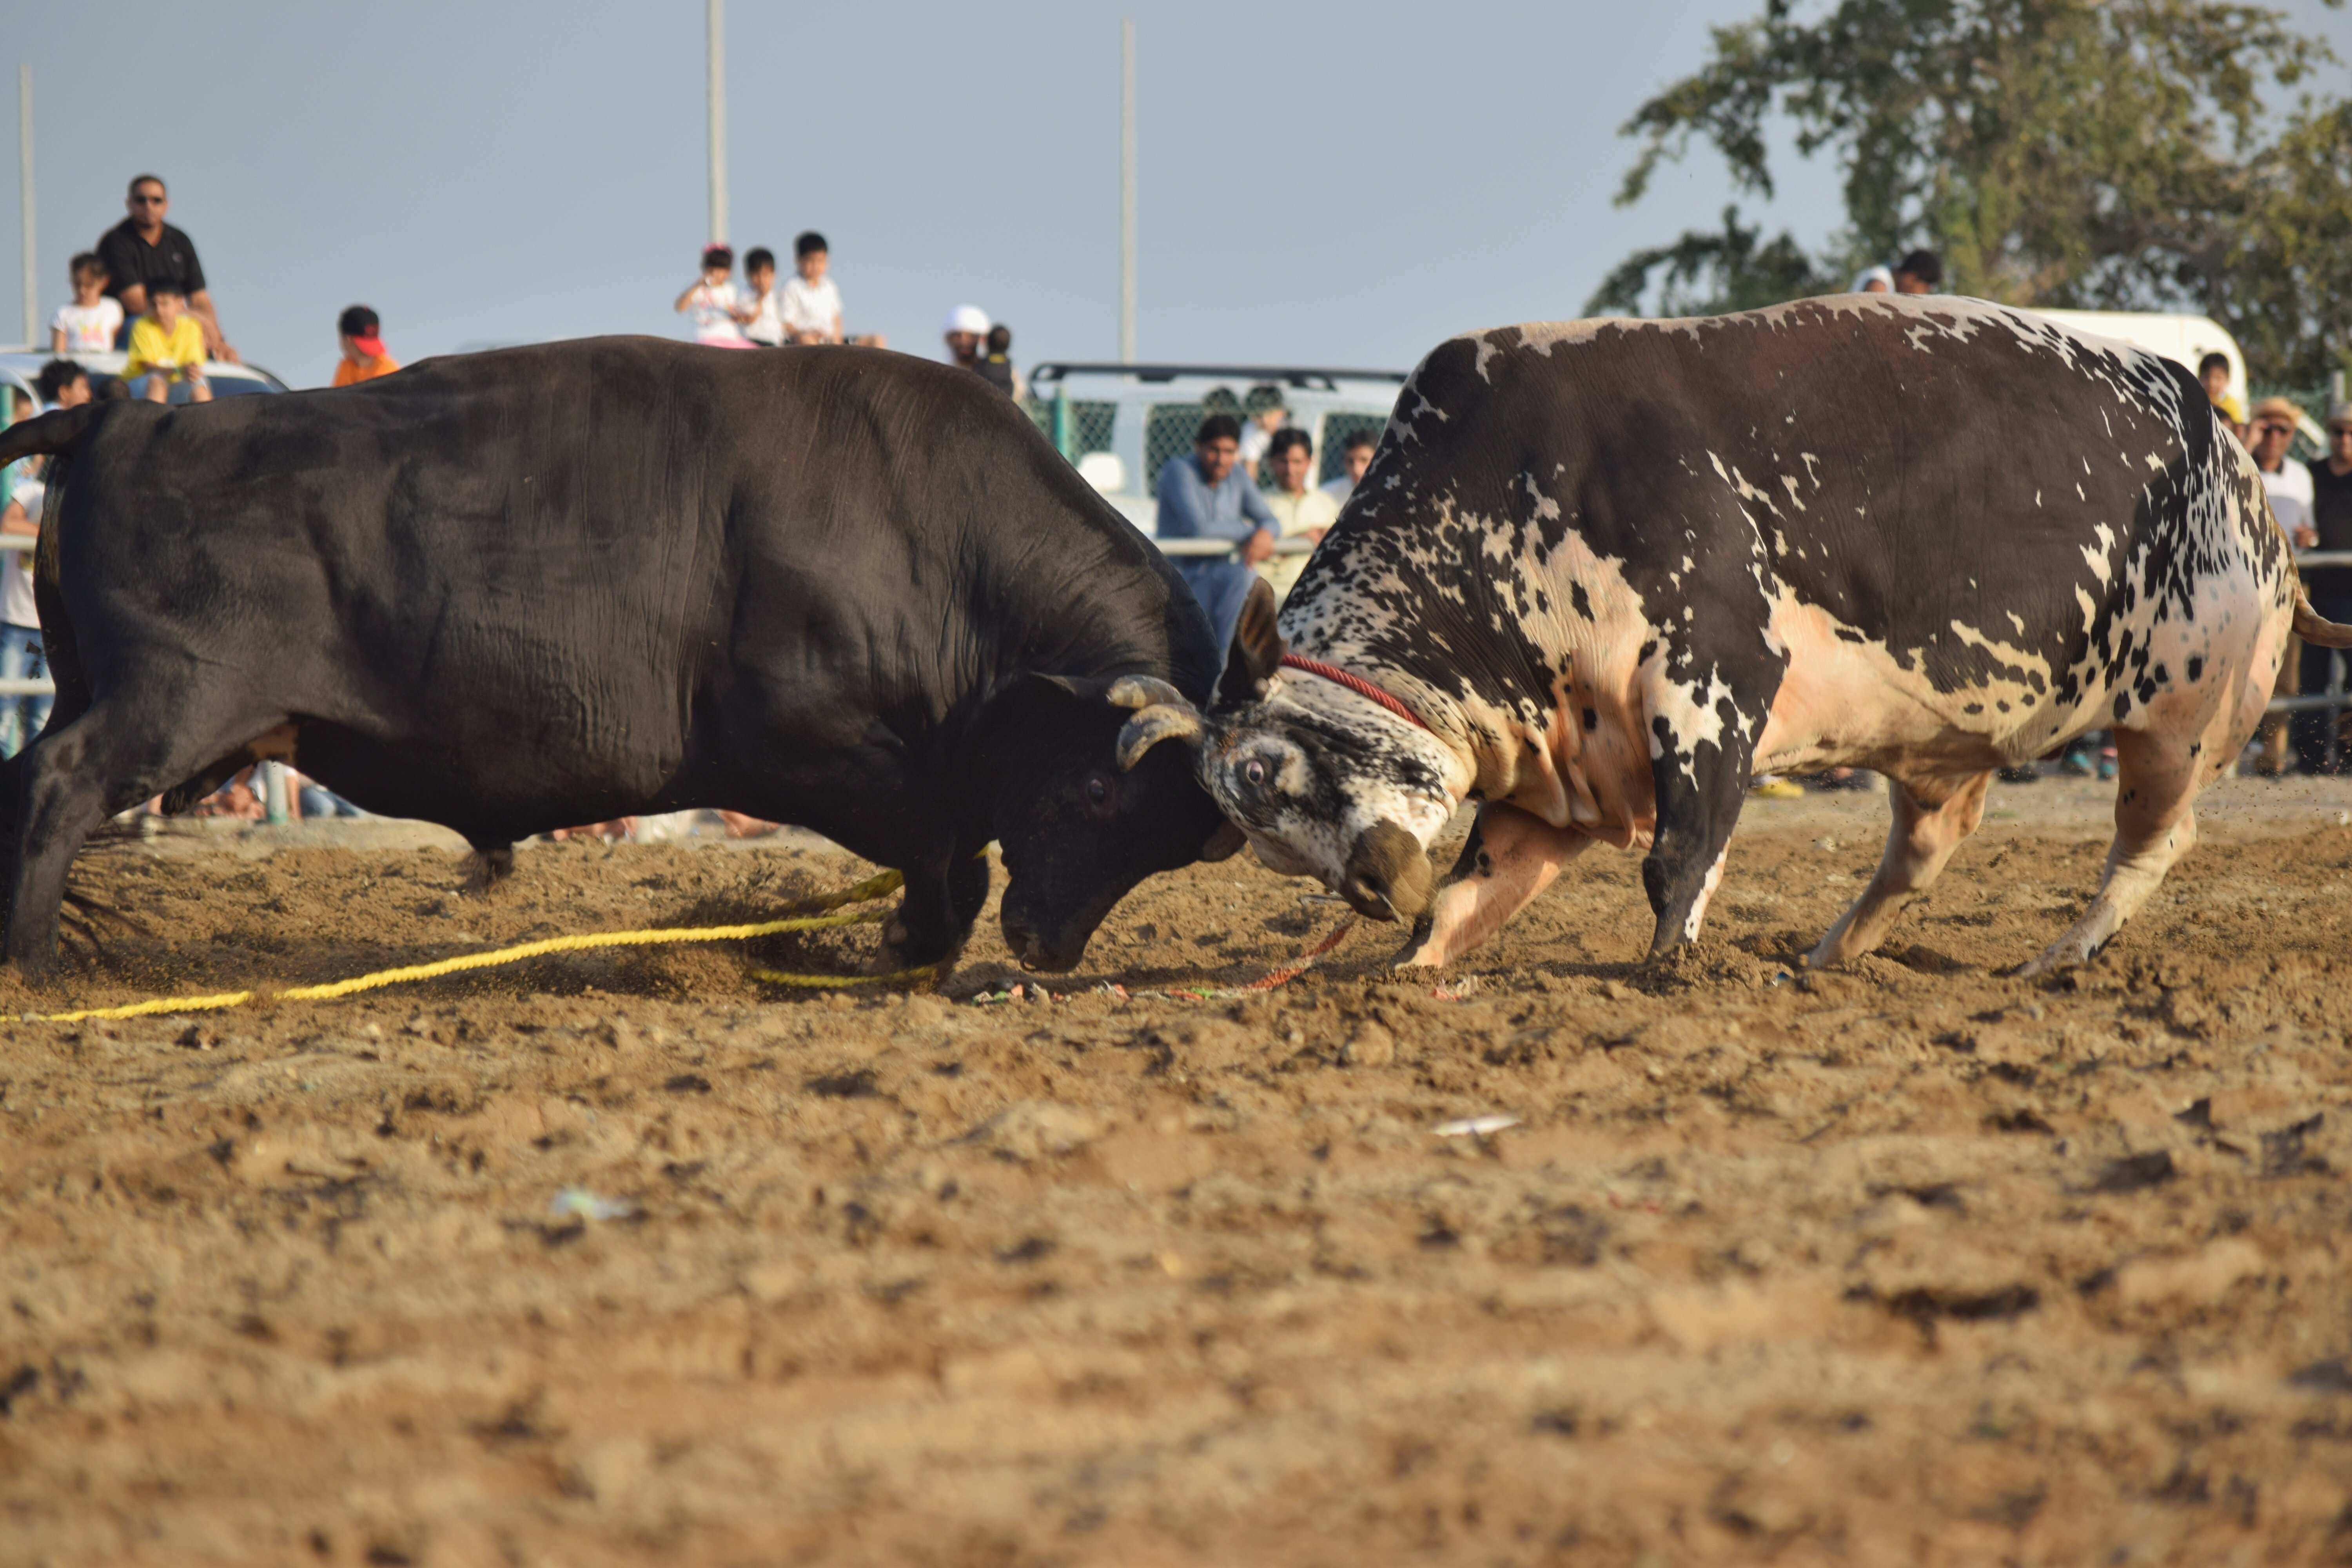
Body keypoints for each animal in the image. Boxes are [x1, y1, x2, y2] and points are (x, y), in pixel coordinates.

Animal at [0, 341, 1232, 973]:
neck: (940, 543)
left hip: (101, 690)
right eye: (1094, 792)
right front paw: (903, 945)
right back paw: (33, 966)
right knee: (54, 786)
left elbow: (952, 853)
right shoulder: (811, 747)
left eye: (1167, 845)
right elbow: (948, 854)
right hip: (172, 700)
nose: (1049, 945)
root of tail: (124, 416)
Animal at [1105, 294, 2352, 973]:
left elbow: (1680, 858)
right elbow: (1469, 895)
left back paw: (2057, 960)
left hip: (2182, 718)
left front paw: (1670, 977)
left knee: (2152, 846)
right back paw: (1828, 956)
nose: (1369, 886)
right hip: (1949, 747)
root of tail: (2240, 466)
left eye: (1268, 771)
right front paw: (1404, 963)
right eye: (1259, 841)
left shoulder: (1713, 679)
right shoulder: (1557, 769)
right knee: (1924, 848)